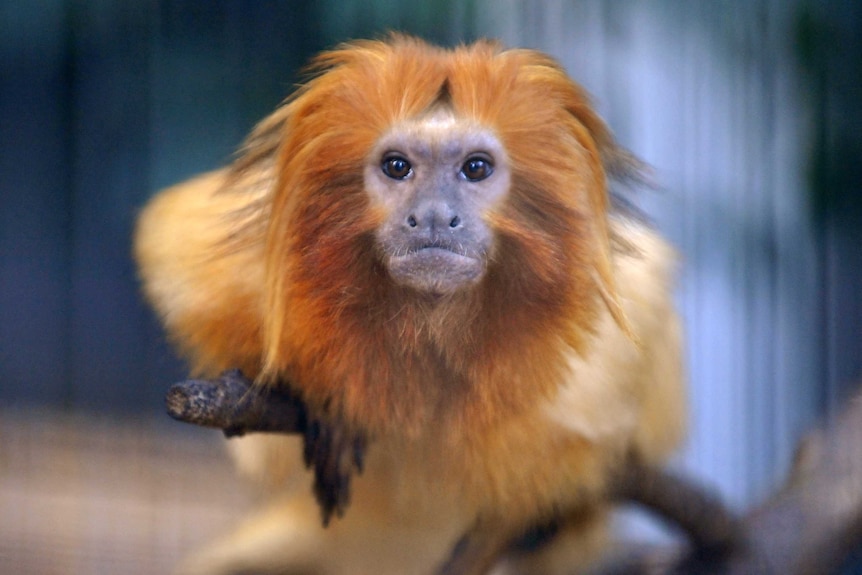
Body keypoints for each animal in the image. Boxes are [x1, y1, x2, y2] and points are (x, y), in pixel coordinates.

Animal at [135, 36, 688, 575]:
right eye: (397, 167)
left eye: (475, 168)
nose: (436, 216)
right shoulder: (261, 253)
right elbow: (173, 248)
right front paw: (327, 404)